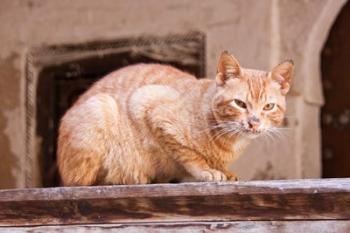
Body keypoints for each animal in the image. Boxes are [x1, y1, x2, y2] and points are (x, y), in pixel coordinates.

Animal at [57, 51, 292, 186]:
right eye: (240, 104)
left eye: (268, 107)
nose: (254, 122)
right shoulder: (149, 106)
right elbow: (189, 154)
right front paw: (207, 170)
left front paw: (223, 170)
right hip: (100, 108)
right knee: (82, 182)